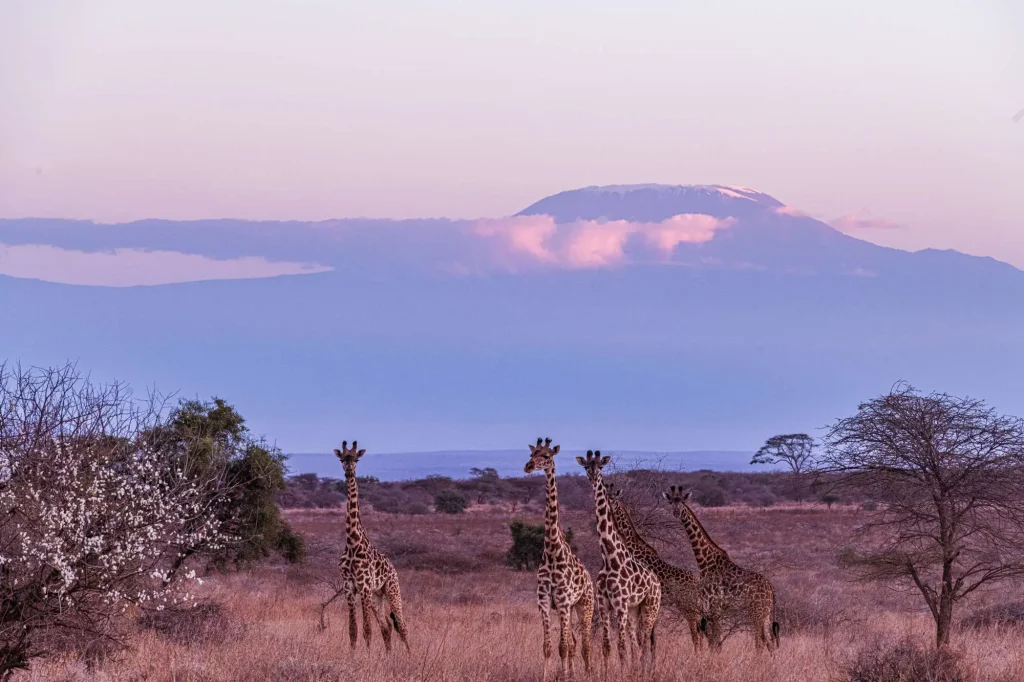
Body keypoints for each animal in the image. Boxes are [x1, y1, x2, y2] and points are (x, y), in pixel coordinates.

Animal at [333, 440, 410, 652]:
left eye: (356, 459)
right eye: (342, 459)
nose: (349, 471)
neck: (352, 543)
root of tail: (393, 567)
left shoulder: (364, 587)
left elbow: (367, 630)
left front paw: (367, 657)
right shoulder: (349, 587)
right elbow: (353, 630)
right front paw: (353, 656)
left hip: (392, 589)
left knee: (402, 625)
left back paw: (410, 656)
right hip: (377, 596)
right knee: (387, 625)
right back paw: (389, 655)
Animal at [524, 437, 595, 681]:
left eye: (546, 456)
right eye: (532, 453)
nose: (528, 466)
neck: (552, 551)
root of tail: (590, 578)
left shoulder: (563, 601)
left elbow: (562, 647)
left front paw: (564, 677)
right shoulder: (545, 601)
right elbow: (548, 647)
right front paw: (548, 676)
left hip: (585, 606)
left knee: (585, 644)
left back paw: (588, 673)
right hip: (571, 609)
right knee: (573, 642)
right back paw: (572, 673)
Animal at [576, 451, 661, 676]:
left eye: (600, 467)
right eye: (586, 466)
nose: (592, 476)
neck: (609, 557)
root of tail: (657, 582)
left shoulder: (620, 604)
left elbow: (621, 646)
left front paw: (622, 674)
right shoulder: (604, 603)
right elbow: (607, 645)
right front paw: (606, 674)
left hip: (650, 608)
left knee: (644, 641)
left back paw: (643, 672)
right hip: (634, 610)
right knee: (637, 642)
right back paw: (637, 670)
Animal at [604, 482, 706, 650]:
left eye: (613, 498)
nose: (607, 506)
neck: (631, 543)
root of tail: (697, 583)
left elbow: (641, 635)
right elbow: (649, 637)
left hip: (687, 605)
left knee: (695, 632)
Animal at [662, 485, 780, 652]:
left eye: (683, 502)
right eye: (671, 502)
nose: (676, 513)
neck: (705, 562)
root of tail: (771, 588)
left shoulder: (715, 608)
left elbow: (714, 642)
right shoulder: (713, 610)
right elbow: (715, 642)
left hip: (757, 612)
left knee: (760, 641)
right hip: (765, 613)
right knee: (769, 642)